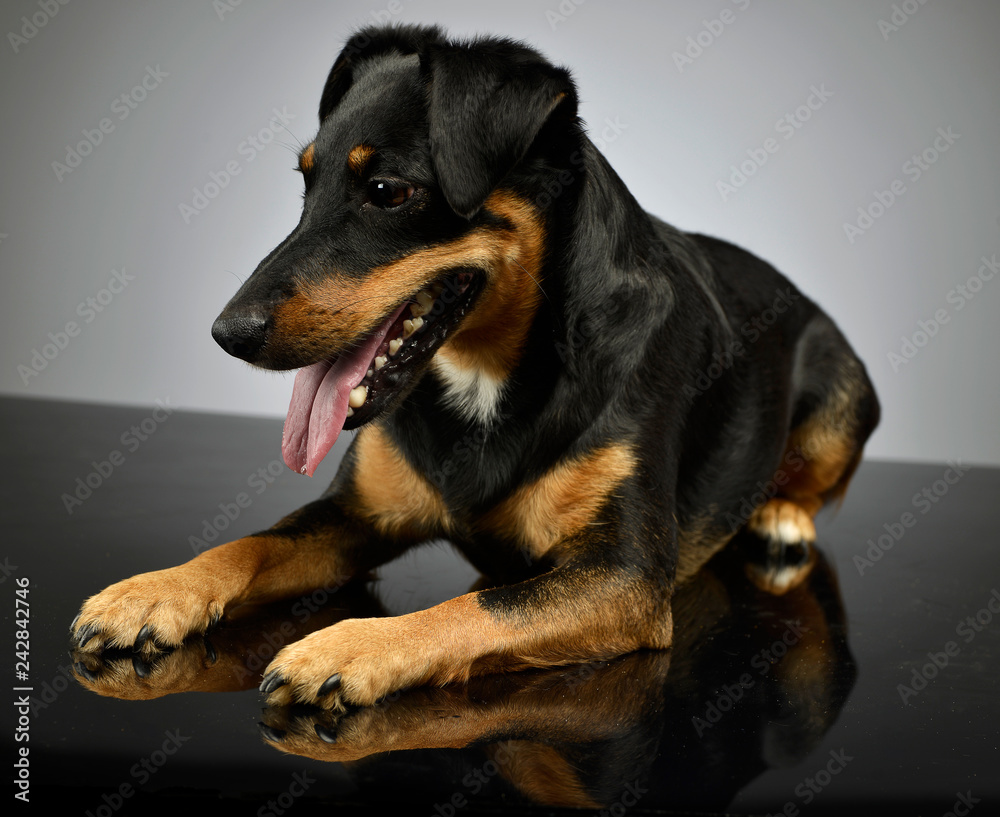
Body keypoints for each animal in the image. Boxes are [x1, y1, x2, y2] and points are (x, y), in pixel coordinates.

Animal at [74, 23, 880, 708]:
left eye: (387, 191)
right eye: (304, 183)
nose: (225, 333)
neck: (487, 369)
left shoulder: (622, 577)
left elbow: (483, 602)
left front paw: (347, 647)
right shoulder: (356, 516)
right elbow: (252, 542)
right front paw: (151, 592)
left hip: (845, 393)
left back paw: (781, 513)